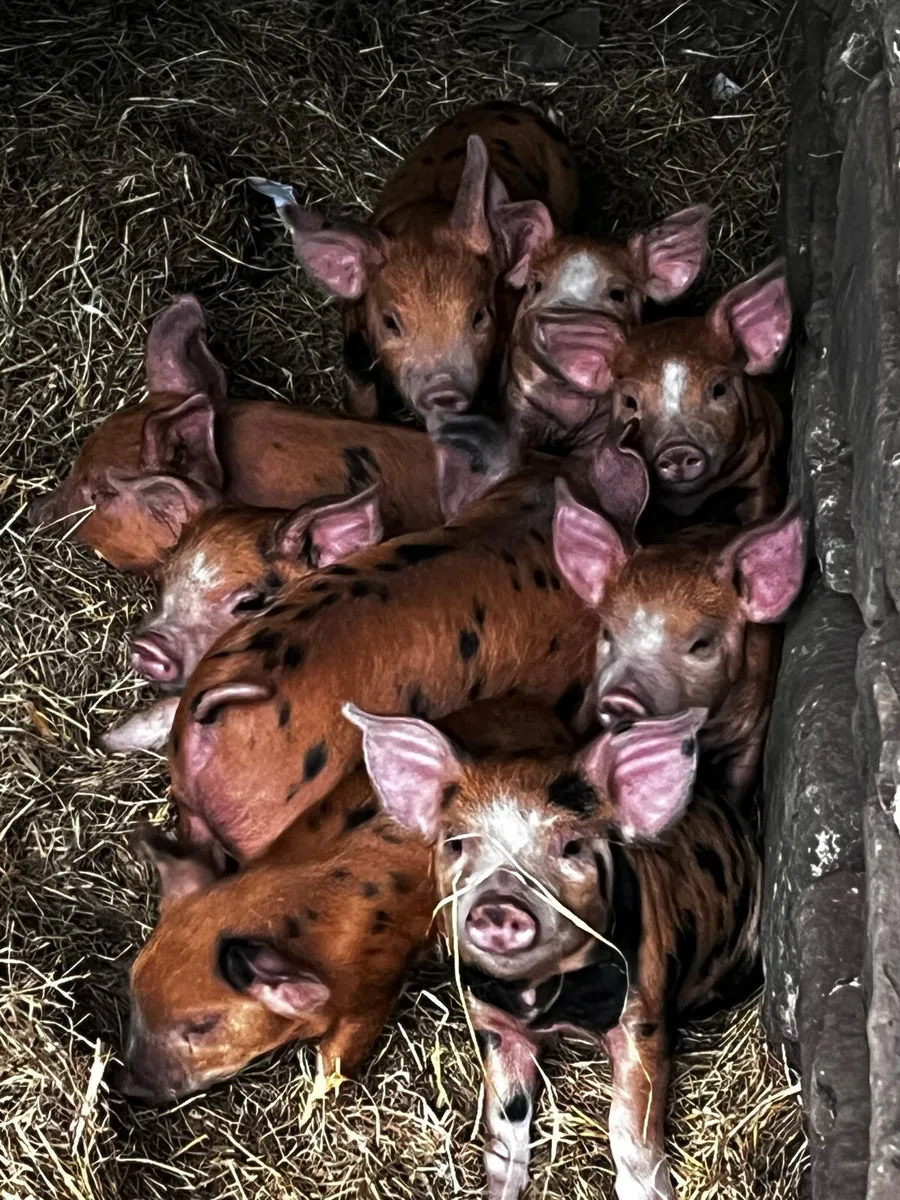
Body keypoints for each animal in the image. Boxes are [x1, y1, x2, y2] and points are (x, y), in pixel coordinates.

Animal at [117, 698, 575, 1103]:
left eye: (202, 1026)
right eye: (133, 984)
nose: (129, 1088)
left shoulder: (373, 988)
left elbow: (336, 1059)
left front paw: (314, 1104)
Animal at [252, 101, 580, 422]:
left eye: (479, 316)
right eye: (390, 323)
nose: (443, 390)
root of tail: (523, 110)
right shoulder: (354, 337)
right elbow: (363, 396)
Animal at [345, 702, 761, 1200]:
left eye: (572, 846)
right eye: (456, 843)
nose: (498, 905)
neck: (541, 1001)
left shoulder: (644, 1015)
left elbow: (629, 1127)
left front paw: (649, 1191)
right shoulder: (493, 1022)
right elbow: (505, 1125)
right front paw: (500, 1191)